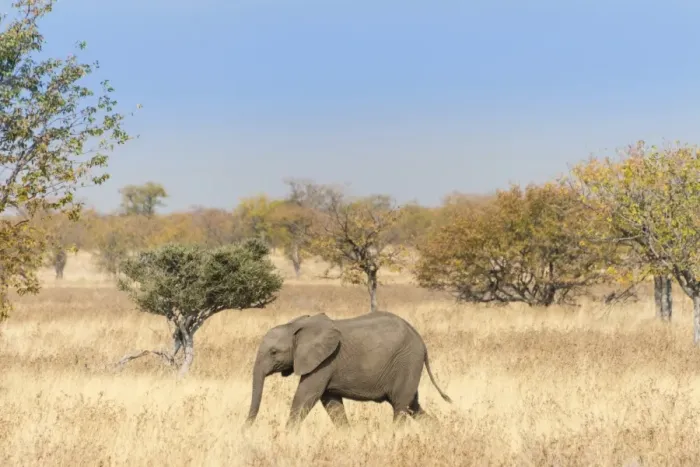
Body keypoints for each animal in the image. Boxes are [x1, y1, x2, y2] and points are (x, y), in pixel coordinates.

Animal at [244, 310, 452, 429]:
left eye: (273, 352)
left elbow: (305, 396)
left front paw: (286, 436)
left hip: (407, 362)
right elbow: (331, 402)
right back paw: (439, 432)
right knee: (413, 406)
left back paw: (395, 436)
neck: (296, 326)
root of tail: (421, 342)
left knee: (400, 406)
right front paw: (347, 435)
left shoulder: (325, 361)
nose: (245, 430)